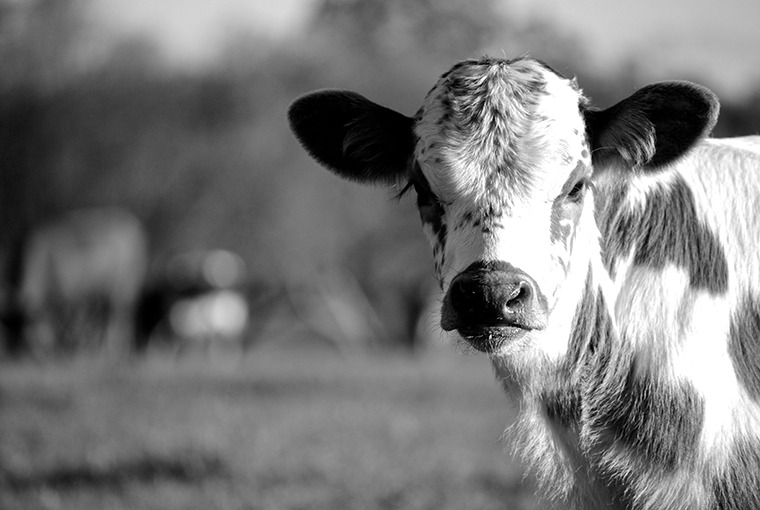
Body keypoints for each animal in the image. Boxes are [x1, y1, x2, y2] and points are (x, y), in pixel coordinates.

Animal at [14, 208, 148, 356]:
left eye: (29, 337)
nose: (21, 353)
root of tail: (132, 221)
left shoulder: (68, 293)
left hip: (124, 289)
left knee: (122, 316)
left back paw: (117, 350)